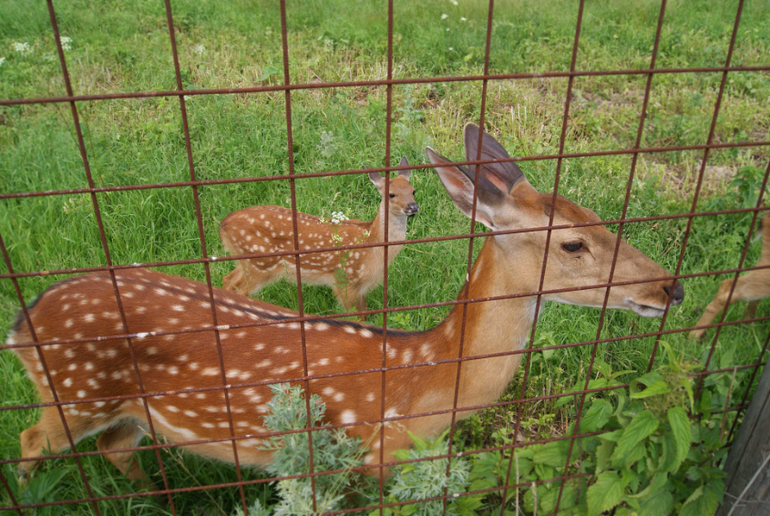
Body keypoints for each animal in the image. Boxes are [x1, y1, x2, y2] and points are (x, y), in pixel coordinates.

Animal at [219, 156, 416, 318]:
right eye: (391, 194)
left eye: (413, 190)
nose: (413, 207)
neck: (372, 245)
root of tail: (223, 225)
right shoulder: (344, 279)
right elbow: (357, 317)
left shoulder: (361, 288)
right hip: (260, 264)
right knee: (239, 290)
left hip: (246, 261)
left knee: (227, 280)